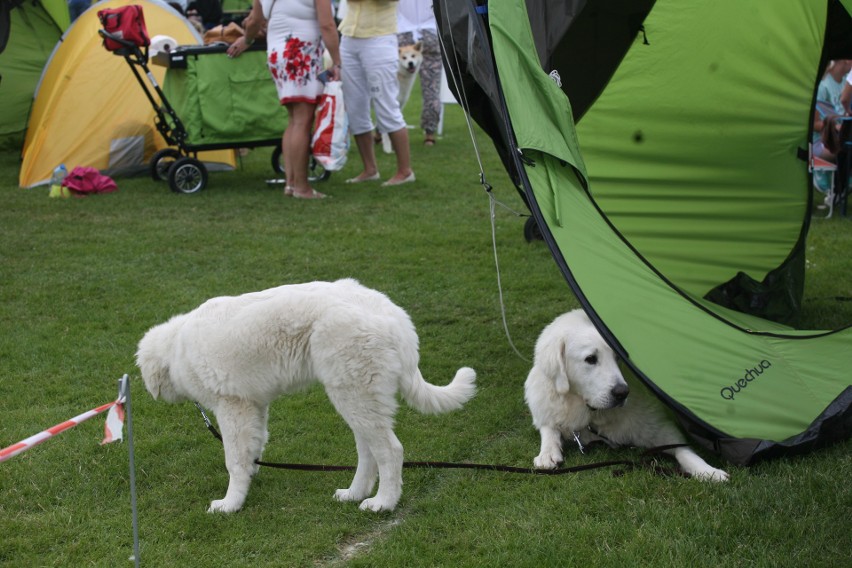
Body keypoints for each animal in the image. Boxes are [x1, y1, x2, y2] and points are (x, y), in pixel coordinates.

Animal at [136, 280, 476, 516]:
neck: (177, 346)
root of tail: (395, 317)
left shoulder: (233, 406)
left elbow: (233, 459)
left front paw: (230, 504)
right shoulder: (255, 405)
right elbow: (254, 446)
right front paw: (251, 476)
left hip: (353, 393)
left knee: (390, 451)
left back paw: (382, 504)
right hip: (357, 396)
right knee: (368, 452)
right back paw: (354, 493)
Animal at [524, 308, 728, 482]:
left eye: (618, 357)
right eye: (591, 359)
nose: (622, 393)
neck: (592, 416)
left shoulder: (658, 428)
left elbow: (683, 450)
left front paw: (708, 471)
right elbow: (549, 429)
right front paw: (547, 453)